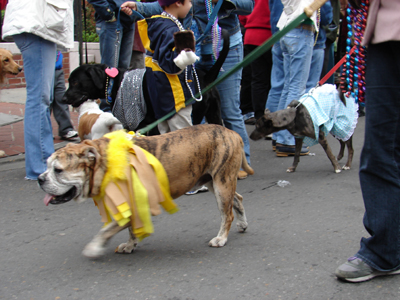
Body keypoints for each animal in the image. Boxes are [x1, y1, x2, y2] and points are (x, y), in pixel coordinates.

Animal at [39, 124, 255, 258]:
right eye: (47, 166)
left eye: (58, 170)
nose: (40, 179)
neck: (103, 163)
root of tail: (232, 133)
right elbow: (130, 229)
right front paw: (130, 245)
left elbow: (106, 230)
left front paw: (93, 247)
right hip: (214, 181)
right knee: (237, 199)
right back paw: (243, 224)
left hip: (222, 183)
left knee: (226, 214)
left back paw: (221, 238)